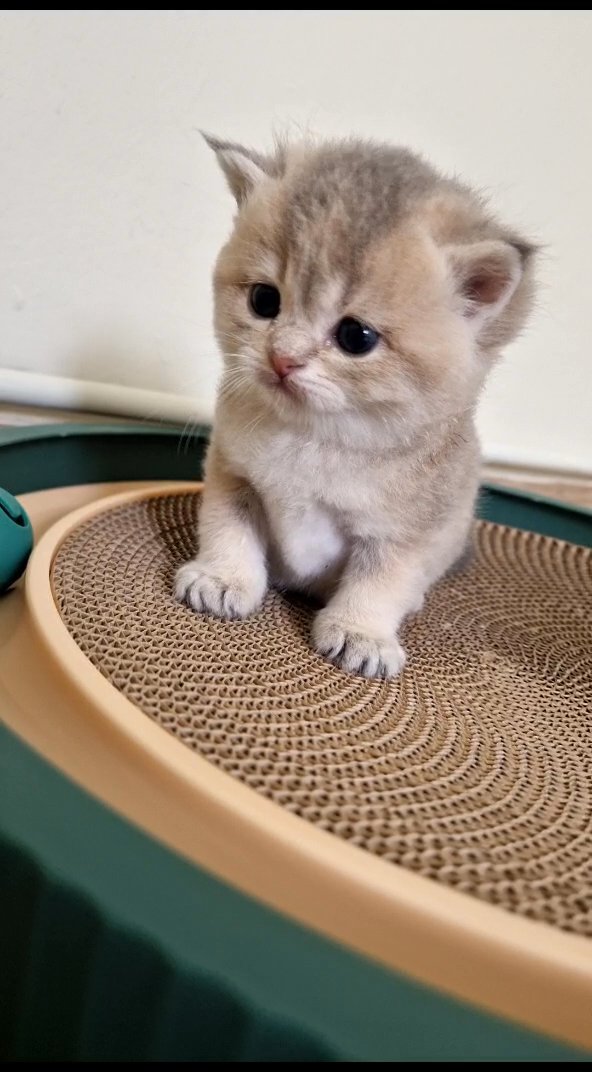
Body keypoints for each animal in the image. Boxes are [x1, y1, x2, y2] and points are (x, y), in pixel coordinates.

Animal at [172, 131, 536, 677]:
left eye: (356, 337)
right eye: (264, 301)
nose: (283, 358)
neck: (315, 438)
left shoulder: (403, 535)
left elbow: (380, 584)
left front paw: (360, 633)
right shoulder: (232, 475)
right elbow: (227, 529)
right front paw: (223, 578)